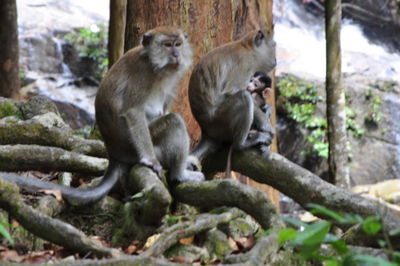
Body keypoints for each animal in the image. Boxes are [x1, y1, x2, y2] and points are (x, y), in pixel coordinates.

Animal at [1, 26, 203, 206]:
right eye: (167, 45)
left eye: (178, 44)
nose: (176, 55)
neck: (155, 66)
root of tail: (114, 155)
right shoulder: (142, 74)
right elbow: (133, 111)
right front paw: (150, 160)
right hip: (139, 150)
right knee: (173, 121)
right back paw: (180, 175)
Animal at [188, 29, 276, 175]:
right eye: (274, 45)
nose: (275, 59)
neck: (247, 48)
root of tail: (206, 131)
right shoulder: (244, 64)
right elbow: (233, 91)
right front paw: (266, 126)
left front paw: (267, 109)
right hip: (219, 122)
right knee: (244, 97)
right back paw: (241, 144)